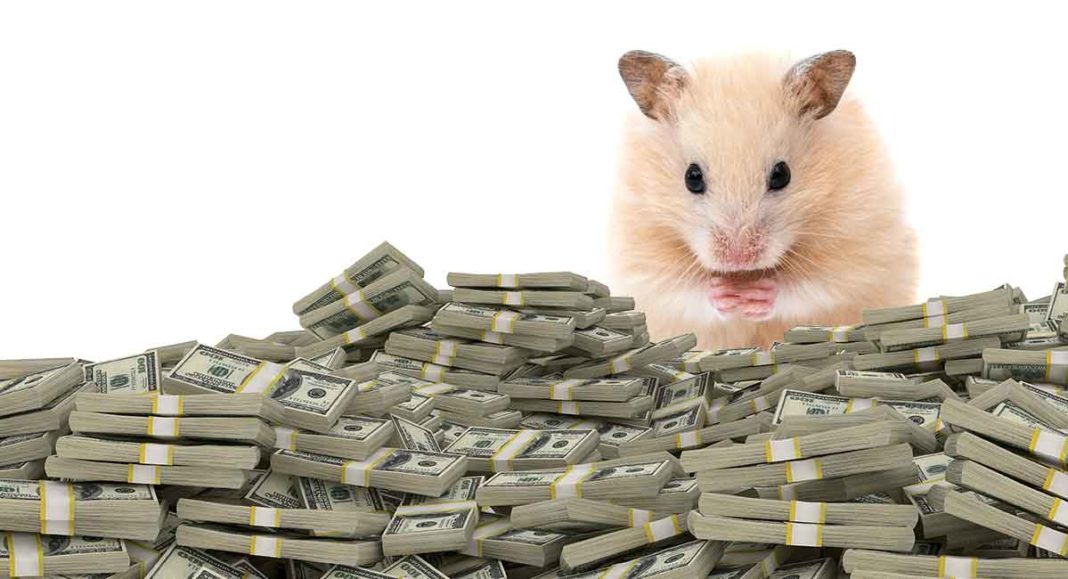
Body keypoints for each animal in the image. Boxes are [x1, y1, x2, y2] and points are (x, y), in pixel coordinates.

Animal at [609, 50, 917, 349]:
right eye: (692, 177)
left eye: (782, 174)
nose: (739, 259)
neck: (745, 275)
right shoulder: (643, 255)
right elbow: (682, 289)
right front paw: (725, 293)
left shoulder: (855, 248)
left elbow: (810, 286)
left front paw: (756, 295)